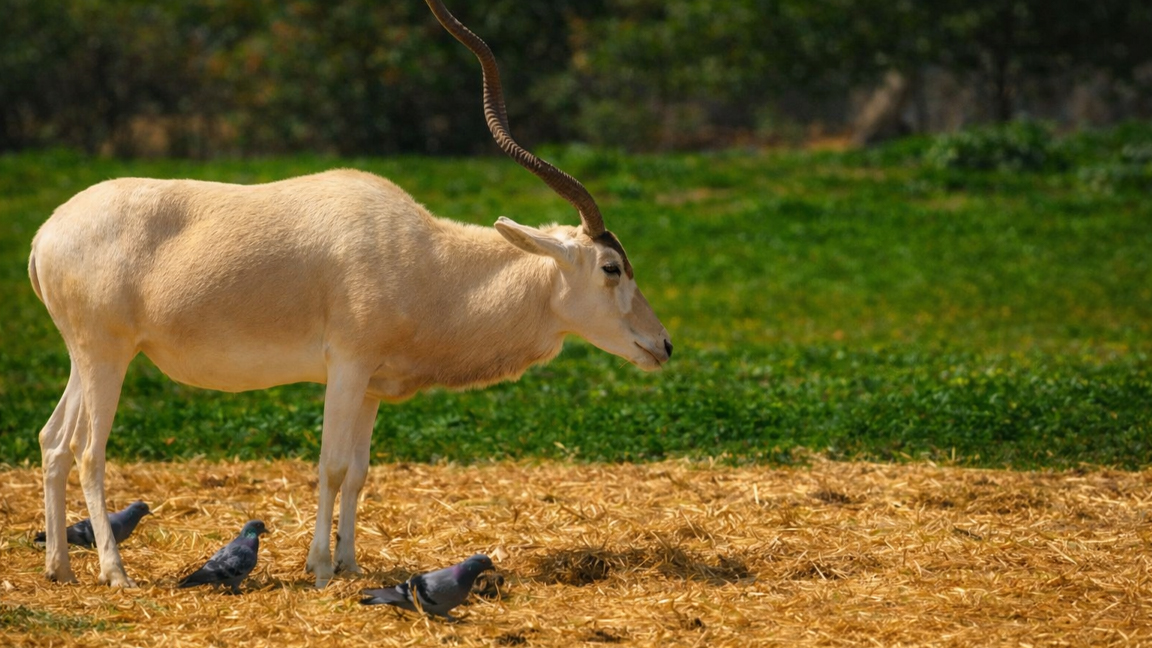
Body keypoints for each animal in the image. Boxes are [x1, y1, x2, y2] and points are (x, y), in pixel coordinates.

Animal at [28, 0, 671, 588]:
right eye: (612, 268)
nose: (662, 345)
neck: (430, 262)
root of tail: (46, 234)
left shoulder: (371, 385)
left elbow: (360, 471)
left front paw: (350, 564)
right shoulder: (347, 365)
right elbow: (332, 466)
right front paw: (318, 569)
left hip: (85, 355)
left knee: (54, 440)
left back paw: (60, 568)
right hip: (107, 353)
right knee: (87, 450)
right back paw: (114, 573)